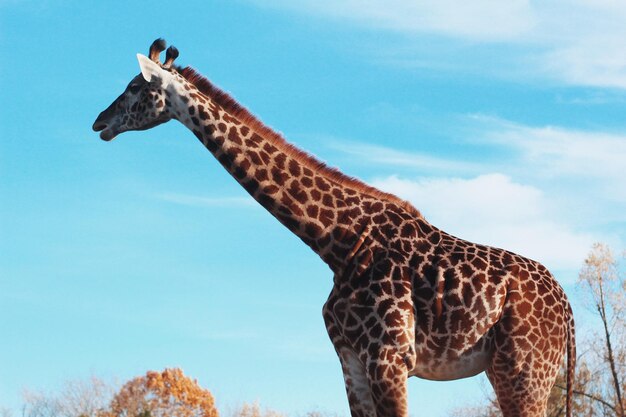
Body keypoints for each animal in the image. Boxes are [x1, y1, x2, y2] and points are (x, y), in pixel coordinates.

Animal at [94, 39, 576, 416]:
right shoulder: (351, 361)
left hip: (522, 372)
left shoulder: (389, 359)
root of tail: (568, 311)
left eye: (135, 86)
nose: (99, 122)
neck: (337, 242)